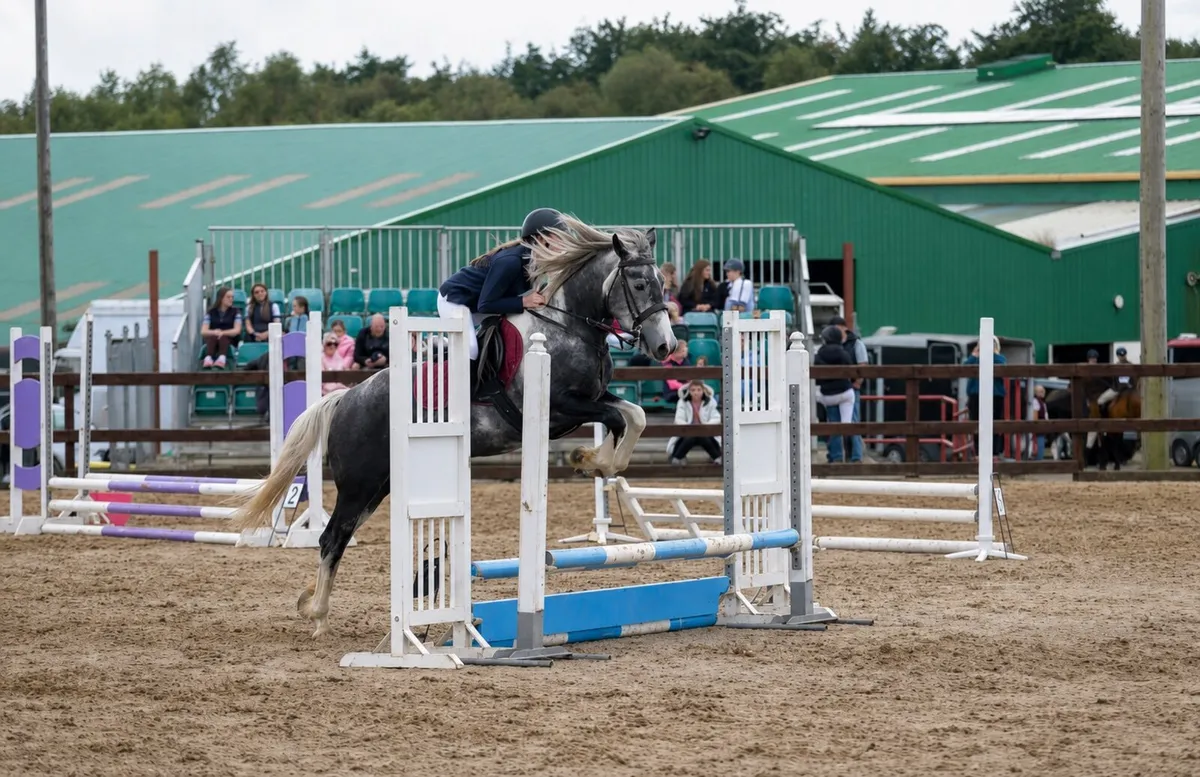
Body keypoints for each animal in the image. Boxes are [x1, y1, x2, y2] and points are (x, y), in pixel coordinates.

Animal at [231, 216, 677, 637]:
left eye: (662, 283)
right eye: (639, 283)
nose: (666, 347)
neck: (567, 328)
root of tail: (345, 398)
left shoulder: (590, 401)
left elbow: (634, 415)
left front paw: (596, 461)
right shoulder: (562, 407)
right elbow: (617, 419)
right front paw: (590, 460)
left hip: (379, 486)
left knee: (339, 536)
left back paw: (311, 603)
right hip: (359, 485)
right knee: (331, 537)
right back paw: (319, 615)